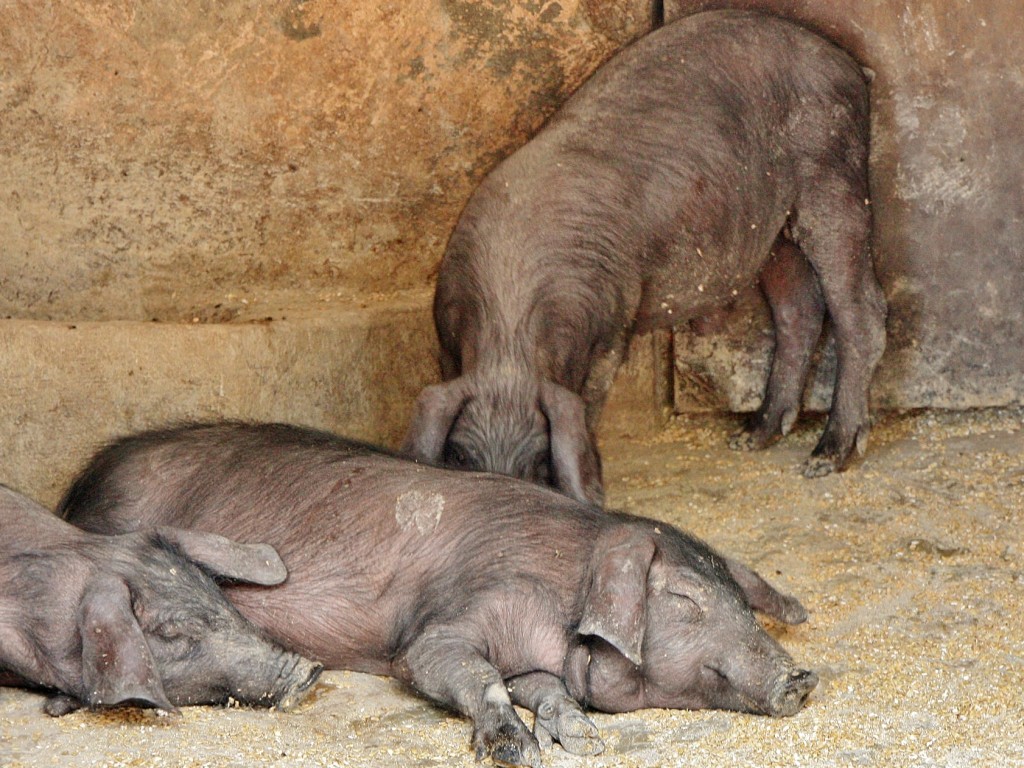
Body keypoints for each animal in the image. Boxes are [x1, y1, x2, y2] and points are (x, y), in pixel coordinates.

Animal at [61, 423, 815, 765]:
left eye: (741, 601)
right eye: (686, 599)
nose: (801, 678)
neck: (562, 597)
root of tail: (82, 478)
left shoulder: (534, 654)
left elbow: (544, 686)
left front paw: (583, 739)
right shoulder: (447, 621)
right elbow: (465, 671)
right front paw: (516, 749)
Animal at [403, 12, 884, 507]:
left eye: (539, 463)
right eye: (461, 457)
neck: (511, 325)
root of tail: (849, 66)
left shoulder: (611, 327)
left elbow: (591, 402)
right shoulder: (447, 342)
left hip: (834, 178)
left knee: (861, 312)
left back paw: (824, 458)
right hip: (772, 234)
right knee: (798, 311)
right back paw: (750, 437)